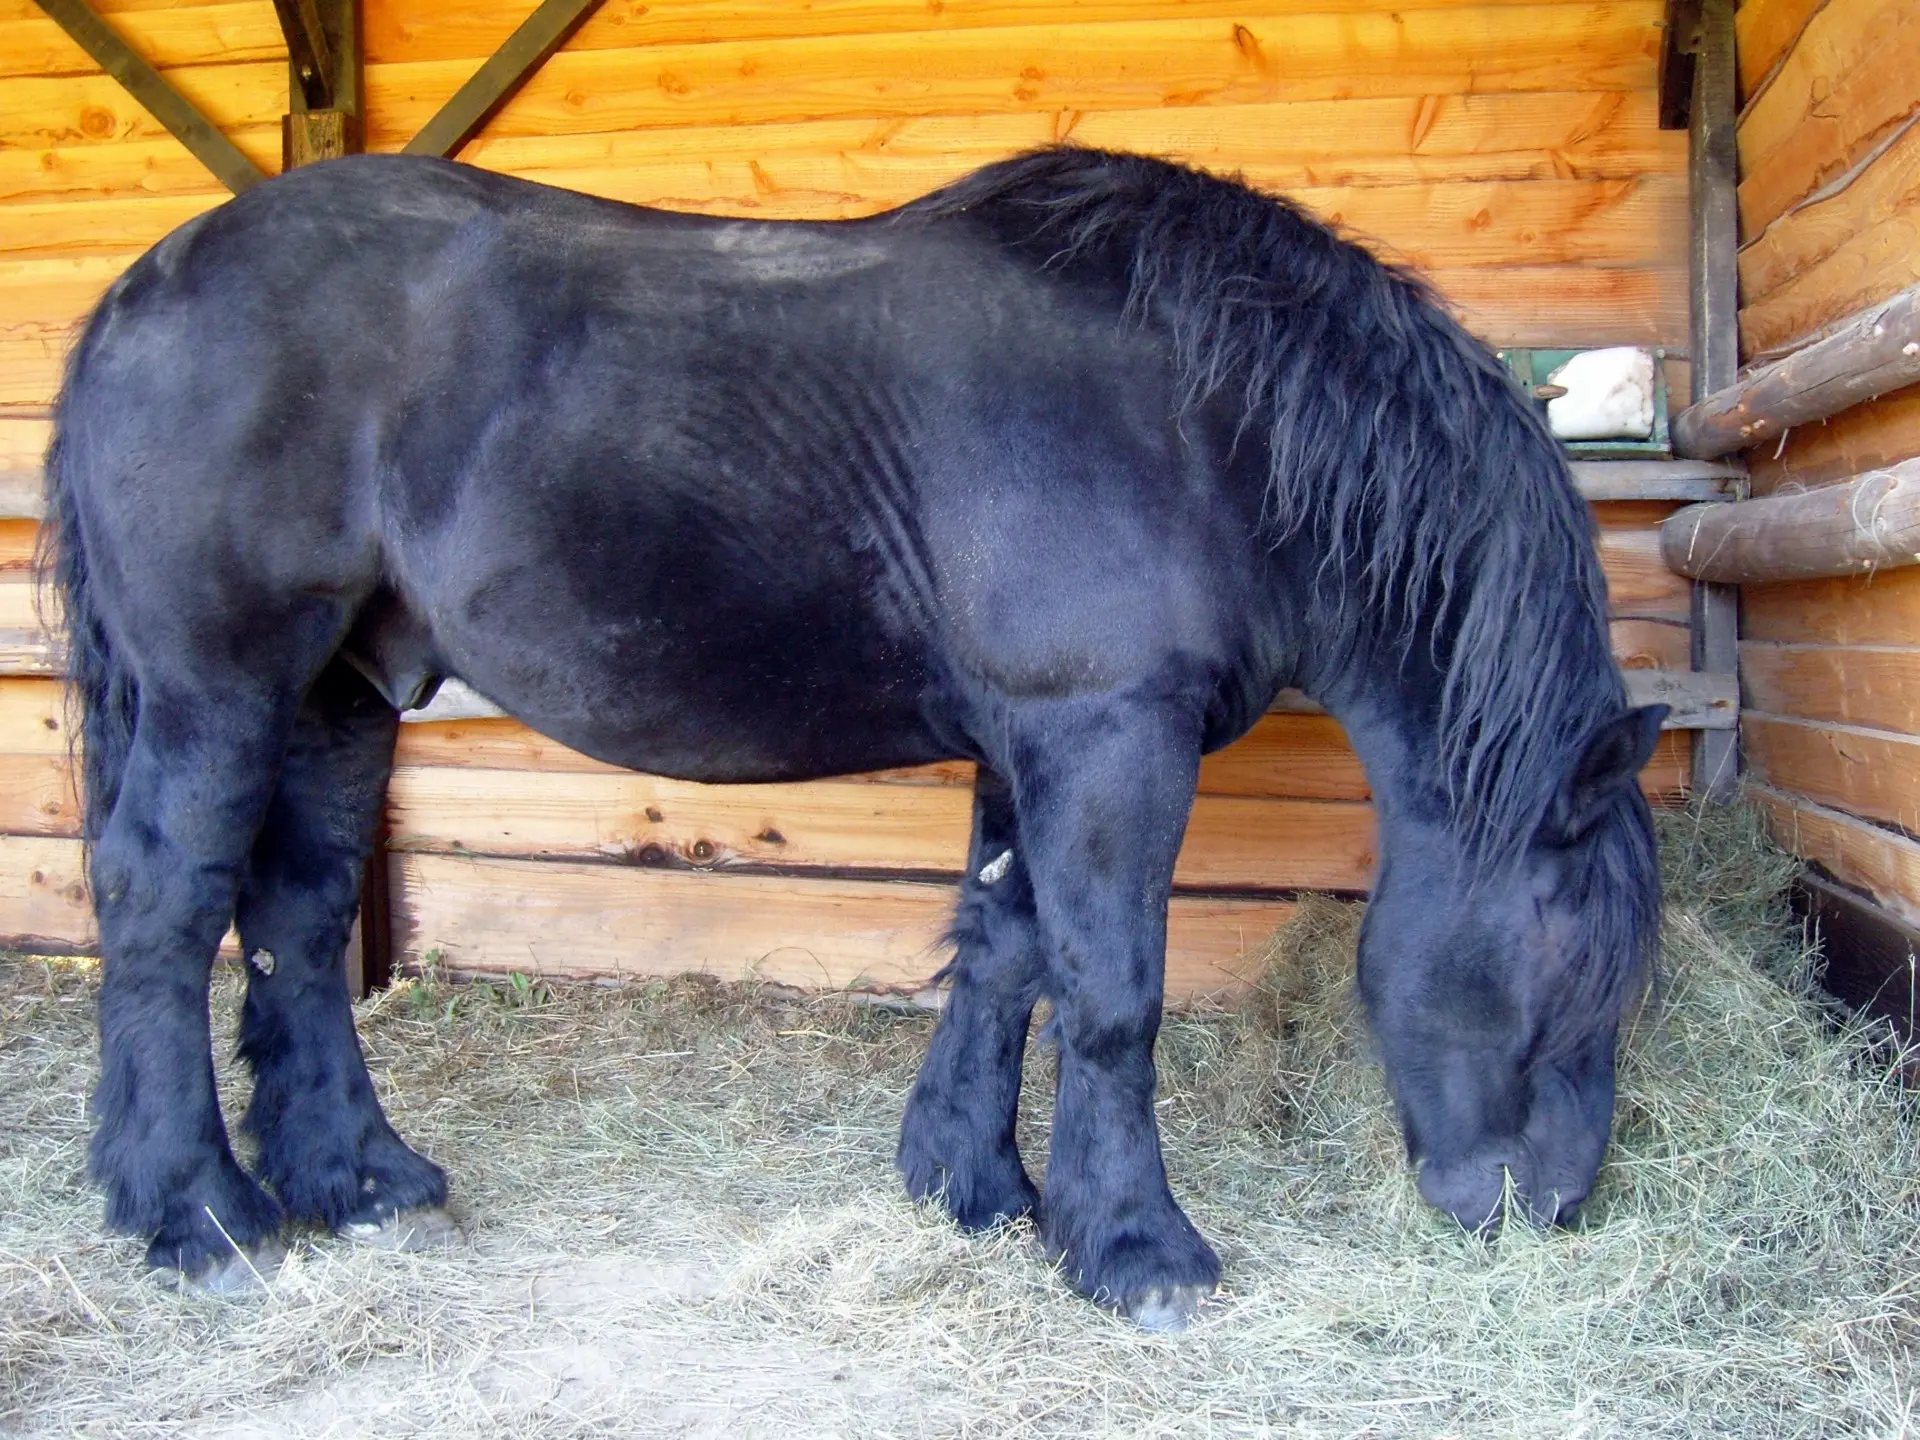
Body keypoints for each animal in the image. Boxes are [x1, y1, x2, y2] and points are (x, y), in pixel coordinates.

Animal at [45, 149, 1666, 1328]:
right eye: (1572, 970)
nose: (1550, 1209)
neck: (1203, 419)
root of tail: (141, 291)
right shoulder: (1109, 739)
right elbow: (1111, 992)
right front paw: (1138, 1250)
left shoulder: (1032, 746)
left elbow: (1004, 953)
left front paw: (975, 1187)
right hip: (216, 689)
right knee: (163, 910)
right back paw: (197, 1214)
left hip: (338, 695)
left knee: (299, 918)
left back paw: (356, 1176)